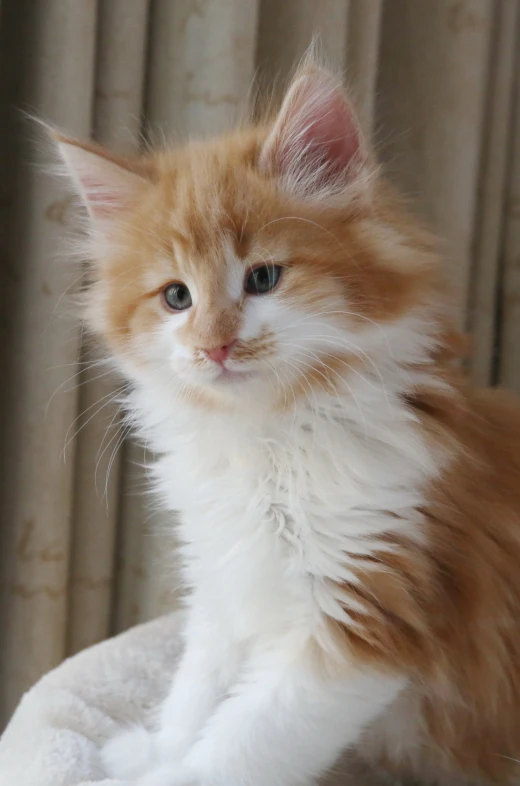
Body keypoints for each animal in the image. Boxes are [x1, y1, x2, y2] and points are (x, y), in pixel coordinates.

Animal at [52, 61, 520, 784]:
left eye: (264, 278)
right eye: (176, 296)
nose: (215, 346)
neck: (265, 440)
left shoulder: (364, 607)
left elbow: (239, 744)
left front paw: (164, 774)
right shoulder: (222, 584)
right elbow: (195, 696)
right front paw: (149, 751)